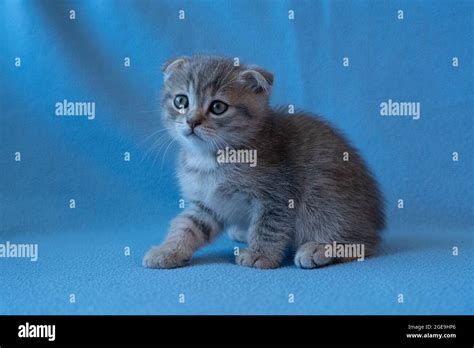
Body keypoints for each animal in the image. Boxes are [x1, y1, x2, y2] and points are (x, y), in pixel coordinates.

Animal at [143, 55, 384, 270]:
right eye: (181, 101)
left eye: (218, 107)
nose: (192, 121)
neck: (210, 159)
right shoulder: (206, 204)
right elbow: (187, 225)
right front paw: (168, 250)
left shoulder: (277, 195)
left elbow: (268, 226)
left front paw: (260, 255)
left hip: (324, 195)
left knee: (362, 243)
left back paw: (318, 248)